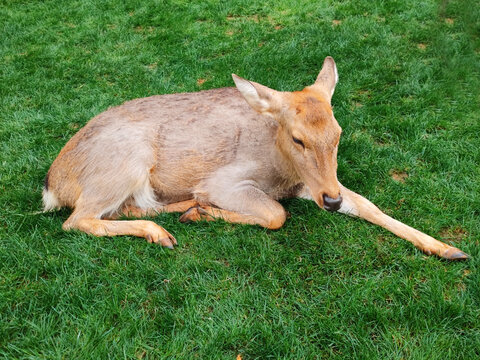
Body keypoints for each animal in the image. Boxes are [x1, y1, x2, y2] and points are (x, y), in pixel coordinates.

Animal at [42, 56, 468, 260]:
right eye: (297, 138)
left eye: (338, 133)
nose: (331, 201)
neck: (283, 173)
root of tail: (53, 185)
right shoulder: (225, 180)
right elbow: (276, 215)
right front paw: (208, 210)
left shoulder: (315, 184)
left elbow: (368, 204)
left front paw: (447, 248)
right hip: (123, 163)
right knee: (77, 220)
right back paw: (166, 229)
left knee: (121, 210)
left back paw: (183, 212)